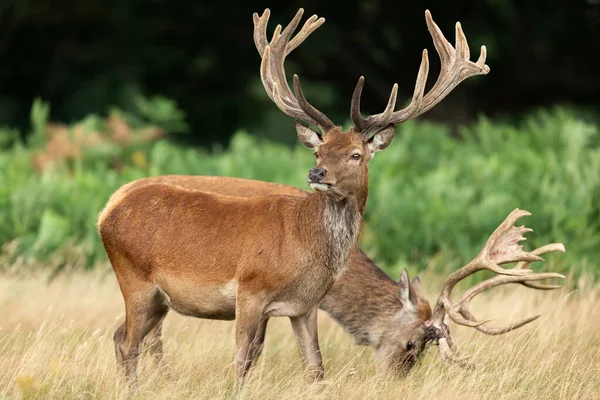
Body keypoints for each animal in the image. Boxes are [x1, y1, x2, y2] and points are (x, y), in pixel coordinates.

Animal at [98, 7, 490, 382]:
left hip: (159, 299)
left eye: (355, 154)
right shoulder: (250, 290)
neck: (305, 245)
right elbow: (241, 361)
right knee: (128, 343)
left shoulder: (305, 307)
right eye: (318, 152)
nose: (317, 173)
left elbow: (315, 368)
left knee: (122, 338)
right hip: (135, 280)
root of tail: (106, 213)